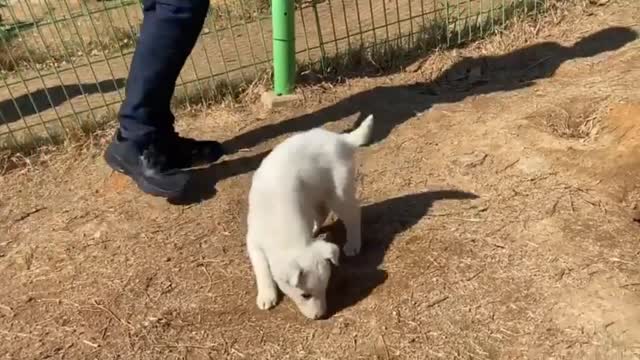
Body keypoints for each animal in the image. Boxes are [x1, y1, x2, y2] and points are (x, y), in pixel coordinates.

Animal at [245, 114, 376, 318]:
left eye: (325, 289)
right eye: (305, 295)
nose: (320, 316)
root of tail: (341, 139)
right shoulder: (253, 241)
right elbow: (262, 268)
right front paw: (267, 295)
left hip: (337, 192)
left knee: (353, 214)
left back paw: (353, 244)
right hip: (317, 194)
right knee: (323, 212)